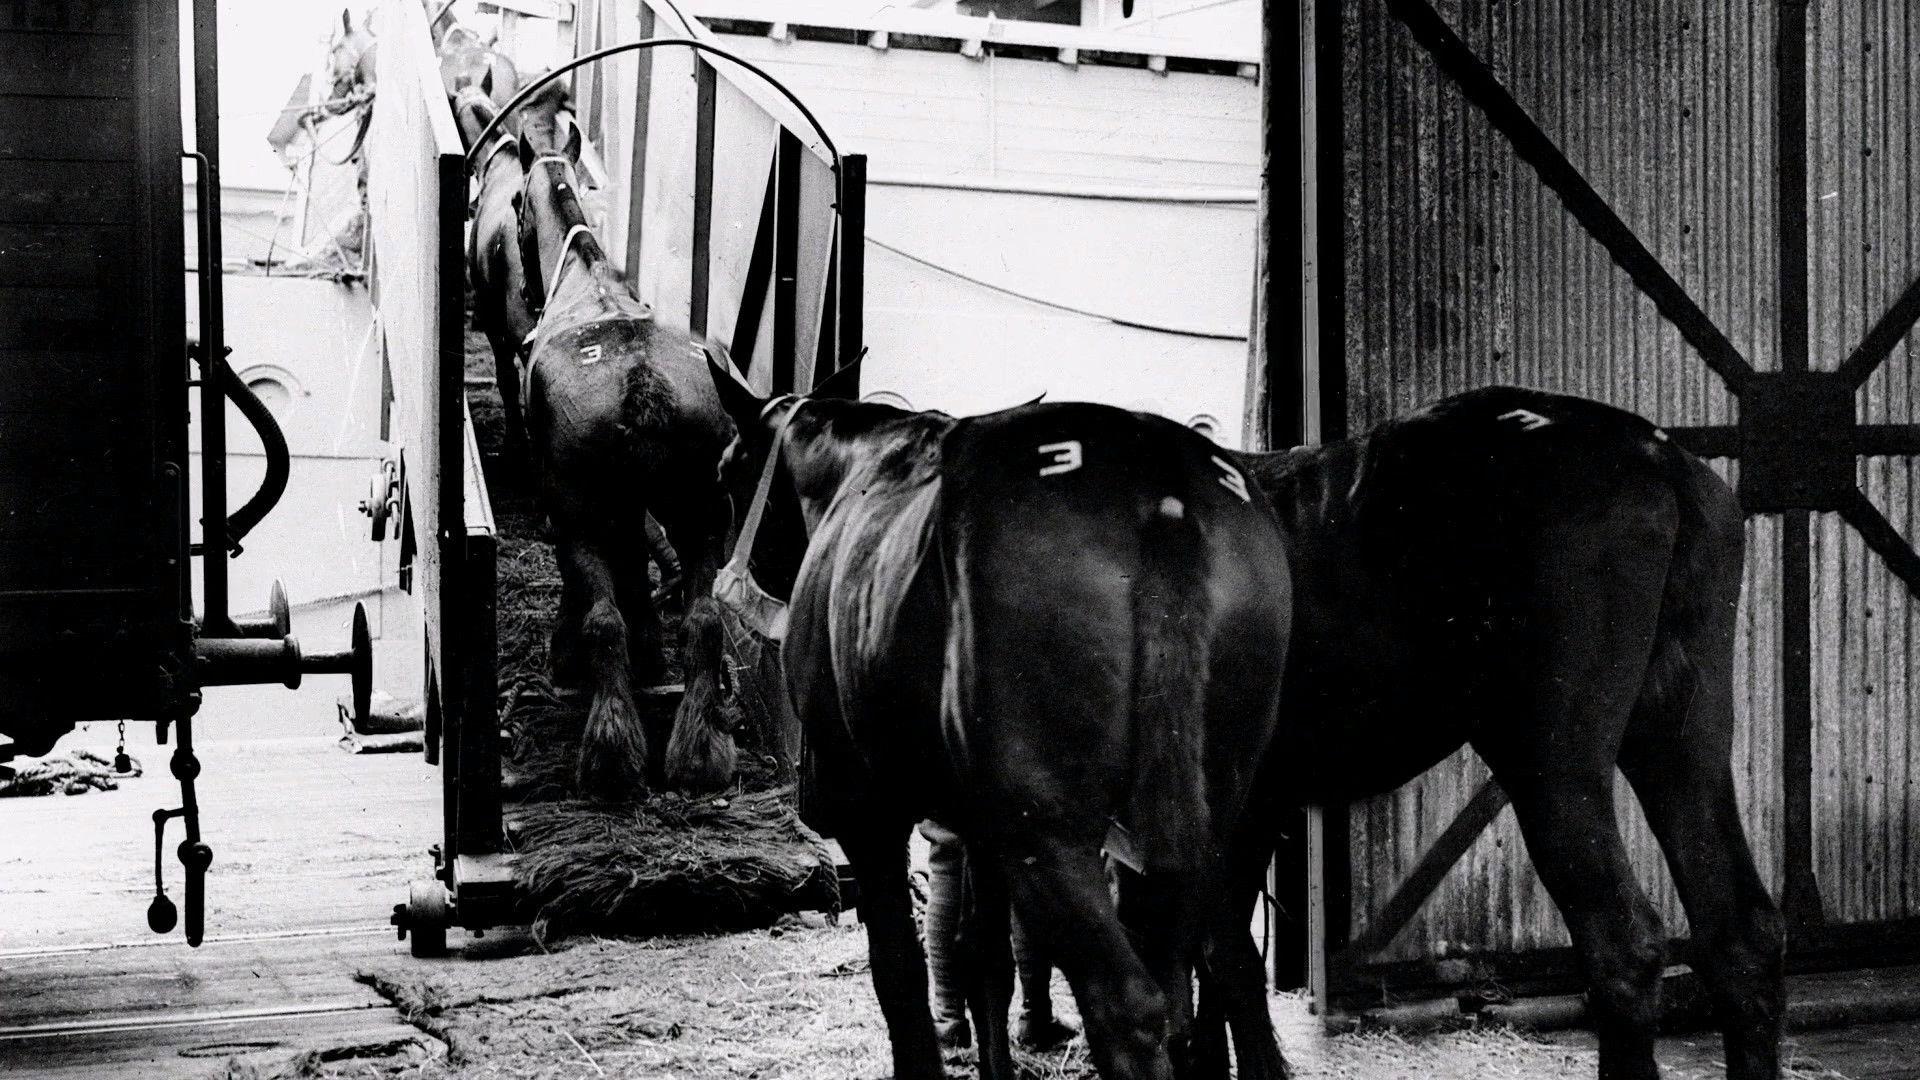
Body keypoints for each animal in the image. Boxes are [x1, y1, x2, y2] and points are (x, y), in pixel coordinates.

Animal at [516, 123, 737, 798]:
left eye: (513, 206)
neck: (586, 277)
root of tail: (641, 376)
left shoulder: (569, 504)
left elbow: (595, 589)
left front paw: (568, 657)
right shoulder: (637, 504)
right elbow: (638, 562)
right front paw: (651, 655)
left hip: (582, 510)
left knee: (602, 619)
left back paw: (610, 754)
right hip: (702, 510)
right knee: (703, 619)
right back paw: (699, 752)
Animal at [704, 365, 1293, 1080]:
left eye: (725, 473)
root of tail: (1162, 494)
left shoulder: (865, 814)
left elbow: (897, 972)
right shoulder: (979, 824)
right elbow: (985, 959)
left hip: (1050, 832)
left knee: (1128, 1005)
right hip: (1215, 814)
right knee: (1231, 971)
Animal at [1196, 386, 1782, 1080]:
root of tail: (1656, 455)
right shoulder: (1253, 806)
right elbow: (1217, 954)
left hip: (1550, 760)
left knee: (1624, 940)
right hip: (1683, 733)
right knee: (1741, 931)